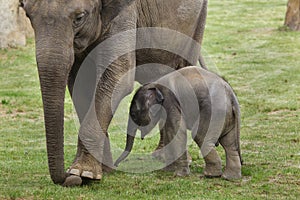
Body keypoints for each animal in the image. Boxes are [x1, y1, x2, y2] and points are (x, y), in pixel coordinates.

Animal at [19, 0, 207, 186]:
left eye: (79, 17)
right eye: (27, 15)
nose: (69, 179)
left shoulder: (125, 14)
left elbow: (117, 74)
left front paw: (82, 173)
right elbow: (80, 83)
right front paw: (100, 170)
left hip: (196, 24)